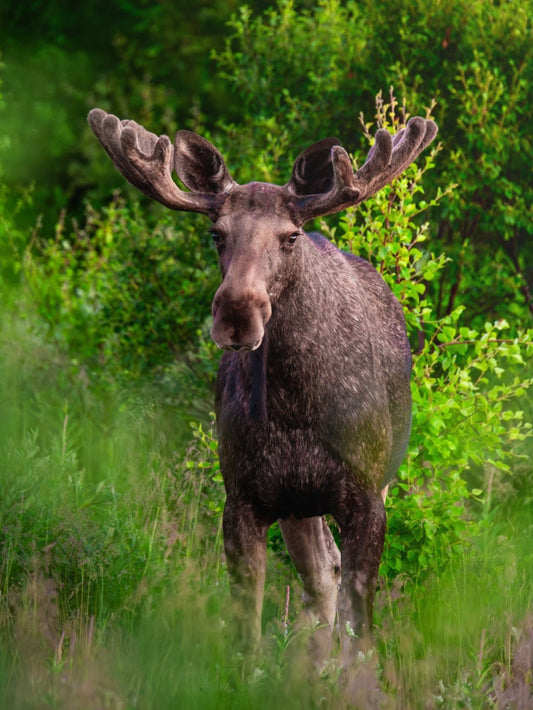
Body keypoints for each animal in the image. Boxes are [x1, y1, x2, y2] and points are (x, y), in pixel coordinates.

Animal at [88, 108, 437, 663]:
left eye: (290, 236)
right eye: (216, 233)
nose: (237, 312)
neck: (294, 407)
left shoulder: (366, 493)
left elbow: (361, 634)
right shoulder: (244, 497)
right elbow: (244, 634)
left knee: (331, 577)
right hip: (297, 505)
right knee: (322, 574)